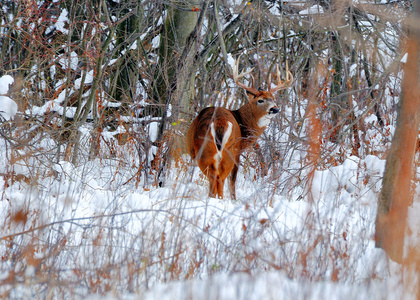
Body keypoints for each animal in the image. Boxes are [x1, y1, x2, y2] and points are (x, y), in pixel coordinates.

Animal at [189, 56, 294, 199]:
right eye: (260, 100)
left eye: (273, 99)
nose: (275, 109)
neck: (243, 122)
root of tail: (219, 122)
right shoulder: (238, 152)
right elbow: (232, 181)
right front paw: (234, 199)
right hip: (227, 150)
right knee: (220, 177)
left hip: (204, 149)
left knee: (213, 175)